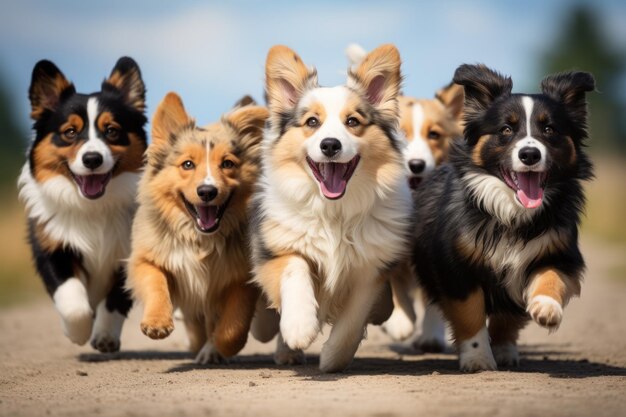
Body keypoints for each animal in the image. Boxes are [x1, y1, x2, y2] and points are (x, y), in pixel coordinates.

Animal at [128, 92, 266, 362]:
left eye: (228, 164)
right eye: (188, 164)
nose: (207, 191)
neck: (200, 238)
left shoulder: (241, 278)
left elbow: (232, 328)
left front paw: (219, 347)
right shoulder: (145, 258)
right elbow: (155, 282)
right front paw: (157, 323)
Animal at [249, 44, 414, 370]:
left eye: (353, 122)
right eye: (312, 122)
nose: (330, 145)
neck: (333, 212)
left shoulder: (370, 271)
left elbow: (352, 321)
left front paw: (332, 360)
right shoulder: (274, 250)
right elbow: (295, 267)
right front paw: (299, 327)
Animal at [412, 64, 592, 370]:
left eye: (550, 129)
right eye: (506, 129)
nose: (530, 154)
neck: (512, 212)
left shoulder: (558, 250)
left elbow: (548, 279)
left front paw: (545, 309)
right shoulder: (457, 266)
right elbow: (470, 313)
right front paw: (478, 357)